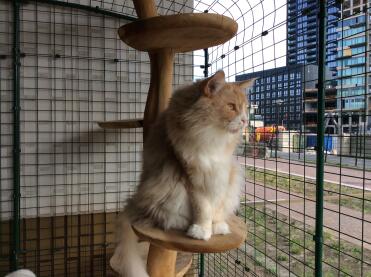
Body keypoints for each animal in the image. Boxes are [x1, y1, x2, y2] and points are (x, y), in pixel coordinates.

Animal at [109, 70, 258, 274]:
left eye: (245, 108)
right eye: (231, 107)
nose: (245, 120)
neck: (211, 137)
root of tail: (136, 200)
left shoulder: (222, 174)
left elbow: (217, 206)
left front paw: (218, 226)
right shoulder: (193, 176)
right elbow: (203, 208)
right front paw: (202, 230)